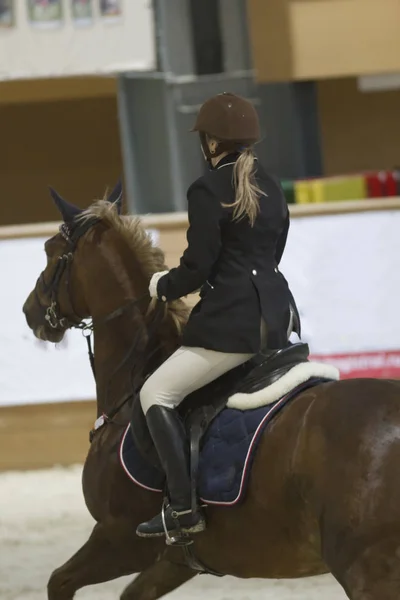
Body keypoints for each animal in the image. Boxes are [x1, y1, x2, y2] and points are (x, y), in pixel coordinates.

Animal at [22, 184, 400, 600]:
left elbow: (59, 580)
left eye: (50, 251)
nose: (29, 311)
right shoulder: (175, 560)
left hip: (366, 572)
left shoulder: (120, 538)